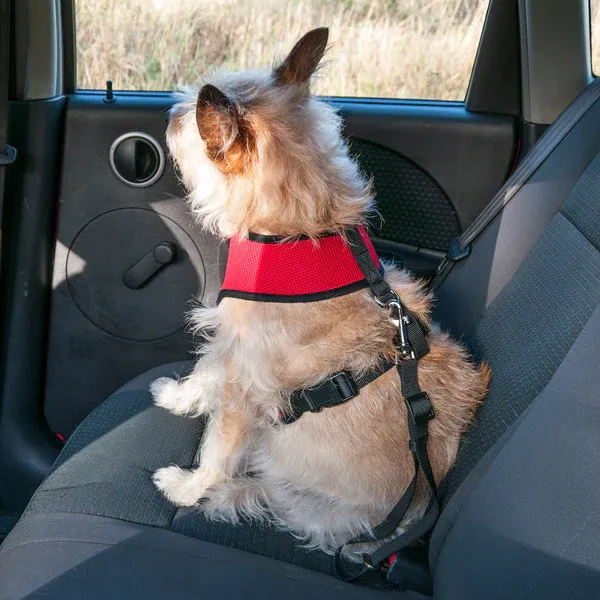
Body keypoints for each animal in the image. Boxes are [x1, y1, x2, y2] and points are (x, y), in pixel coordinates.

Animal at [150, 29, 488, 556]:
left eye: (187, 122)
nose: (167, 115)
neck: (298, 232)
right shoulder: (230, 345)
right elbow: (205, 372)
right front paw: (179, 396)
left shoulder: (247, 384)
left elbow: (218, 446)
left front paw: (189, 487)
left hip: (308, 499)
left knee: (269, 495)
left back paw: (225, 496)